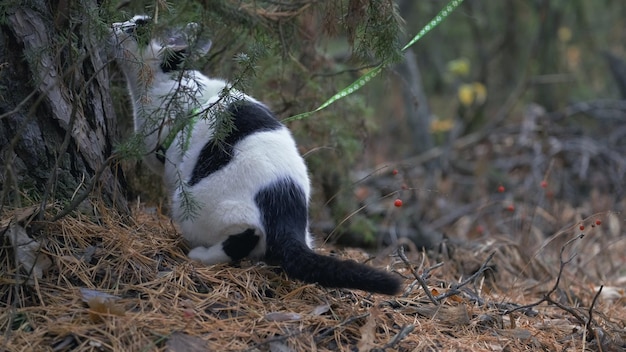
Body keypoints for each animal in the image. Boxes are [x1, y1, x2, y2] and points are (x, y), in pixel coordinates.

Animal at [108, 15, 400, 294]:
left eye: (136, 28)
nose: (112, 25)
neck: (171, 84)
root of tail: (286, 209)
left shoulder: (167, 159)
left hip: (193, 201)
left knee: (242, 238)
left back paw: (201, 254)